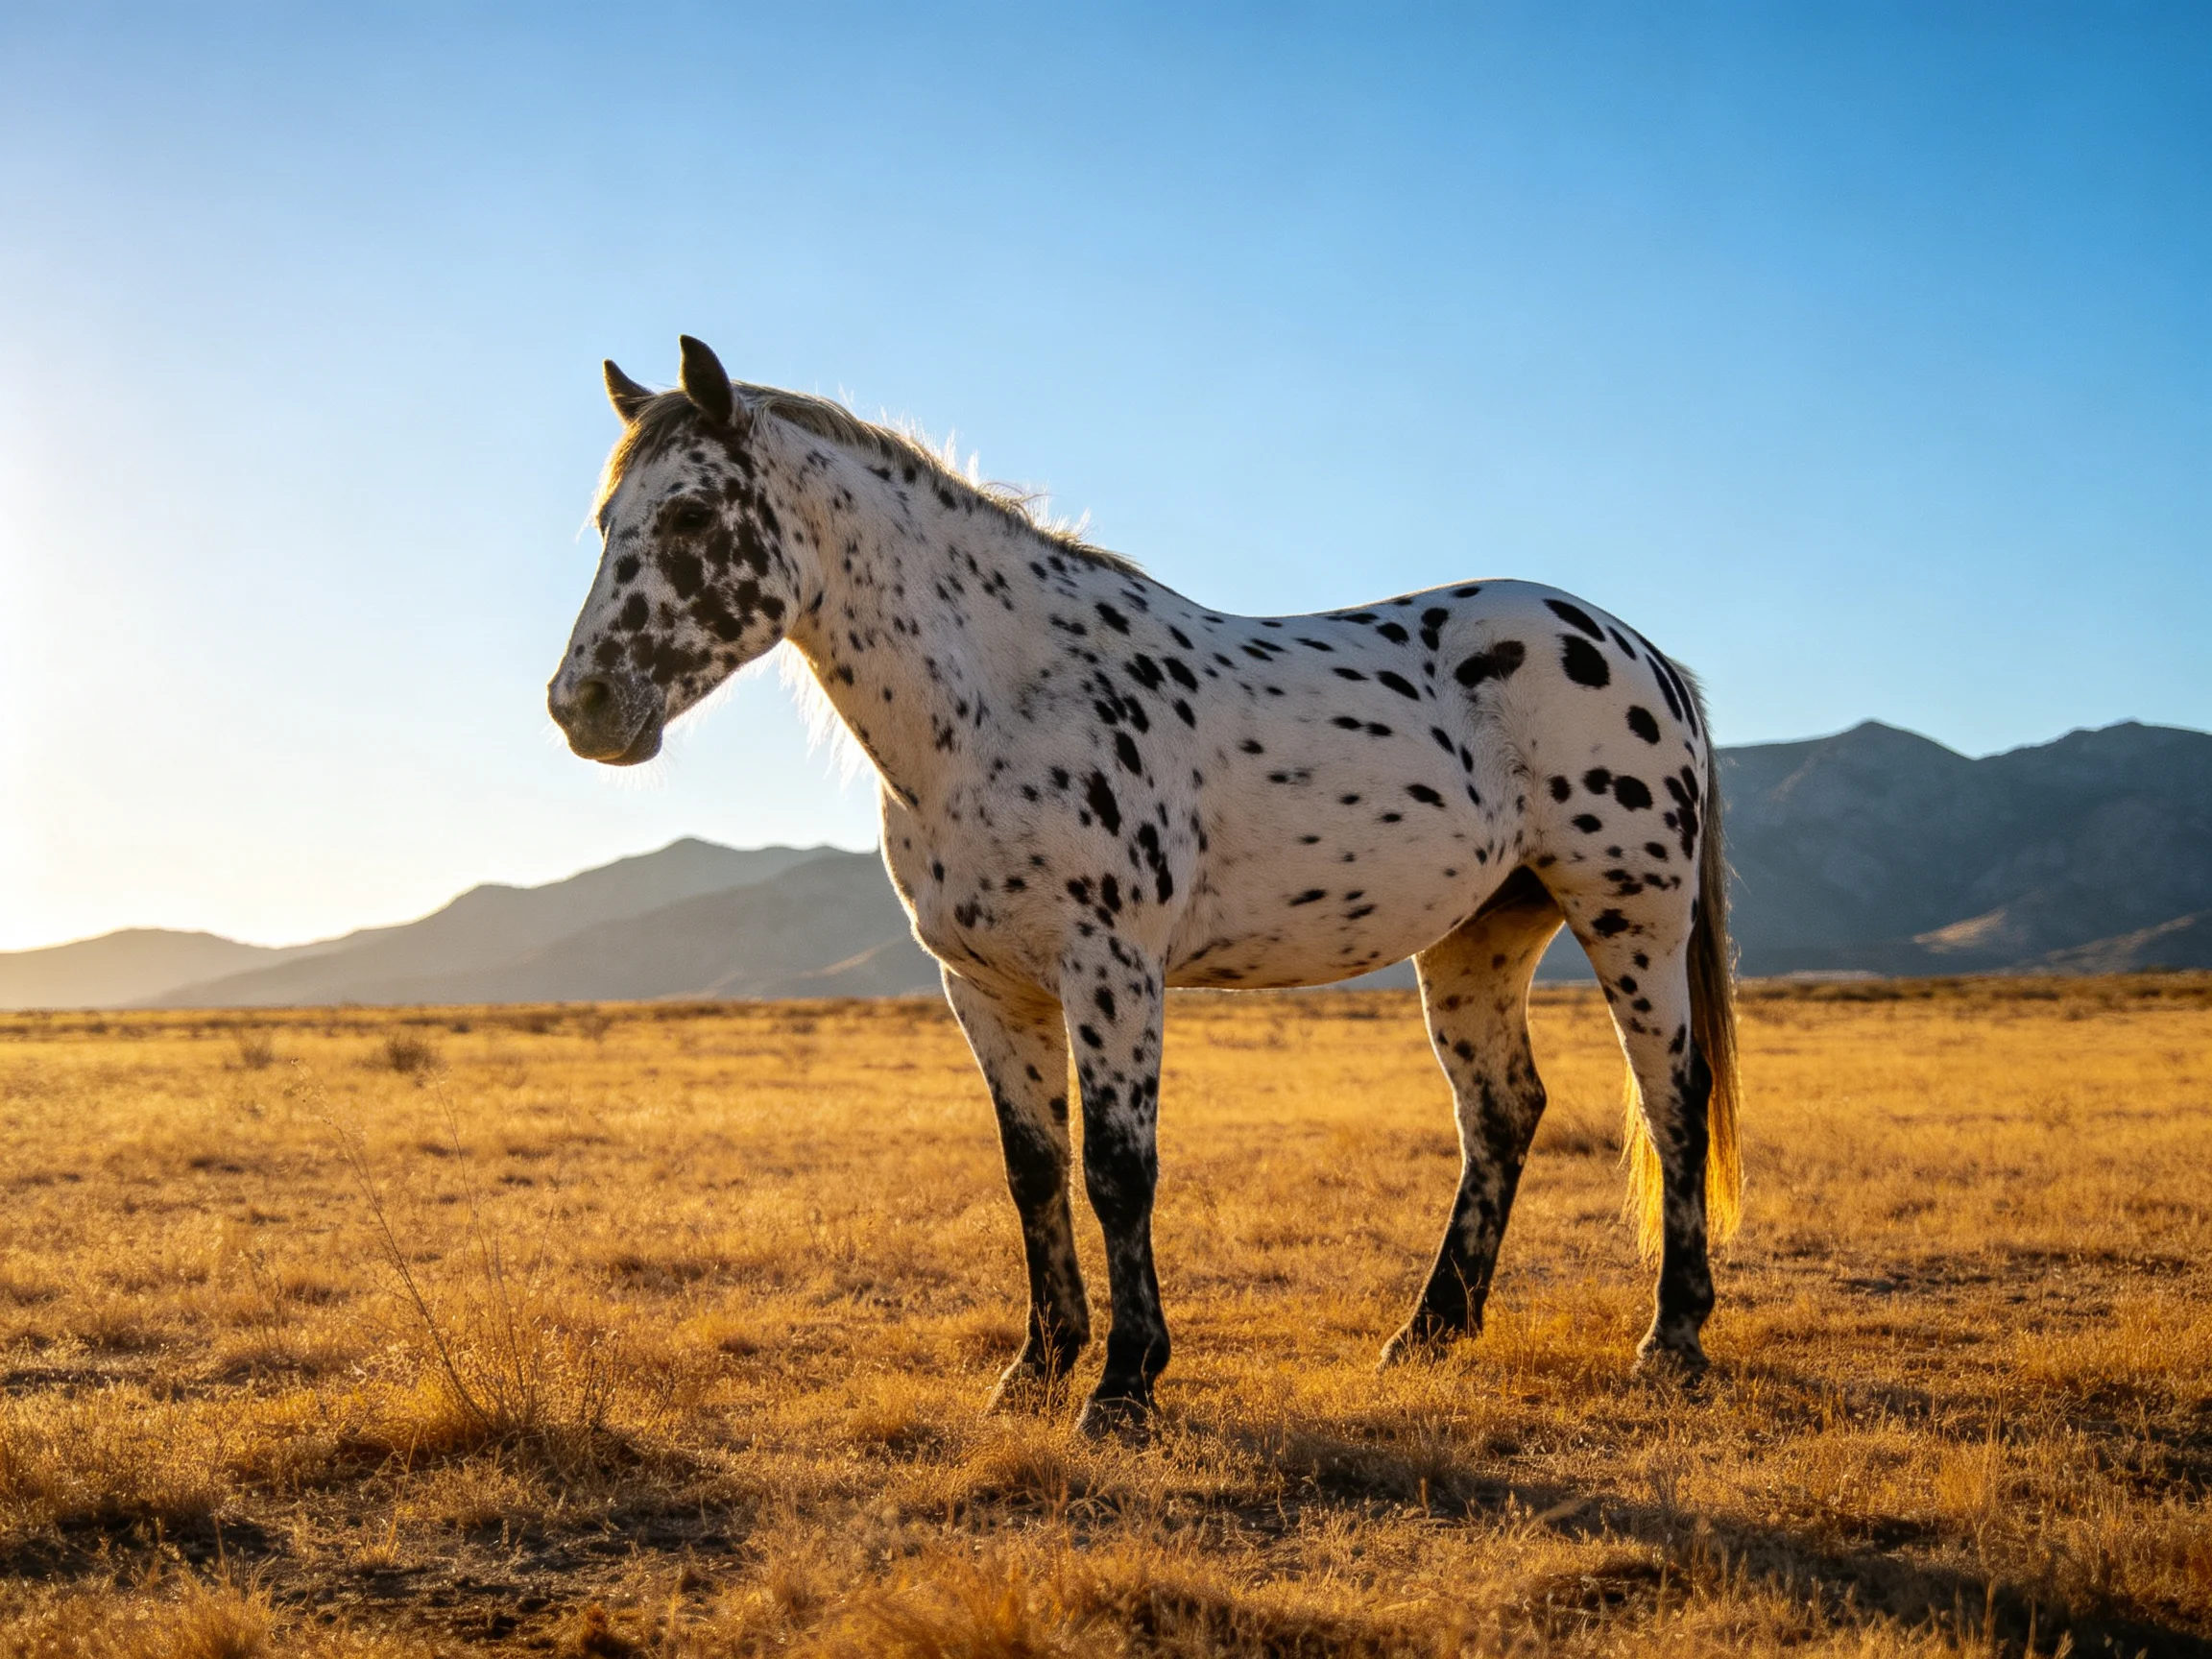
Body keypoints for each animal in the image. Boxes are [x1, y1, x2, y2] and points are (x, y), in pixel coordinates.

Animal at [548, 336, 1742, 1435]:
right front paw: (1036, 1368)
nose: (581, 707)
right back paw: (1429, 1333)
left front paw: (1124, 1386)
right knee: (1502, 1110)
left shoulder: (1112, 971)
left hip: (1629, 916)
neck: (1003, 703)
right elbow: (1033, 1169)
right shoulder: (986, 987)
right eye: (607, 525)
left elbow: (1119, 1171)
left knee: (1673, 1101)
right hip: (1477, 938)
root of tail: (1637, 650)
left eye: (691, 517)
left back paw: (1672, 1339)